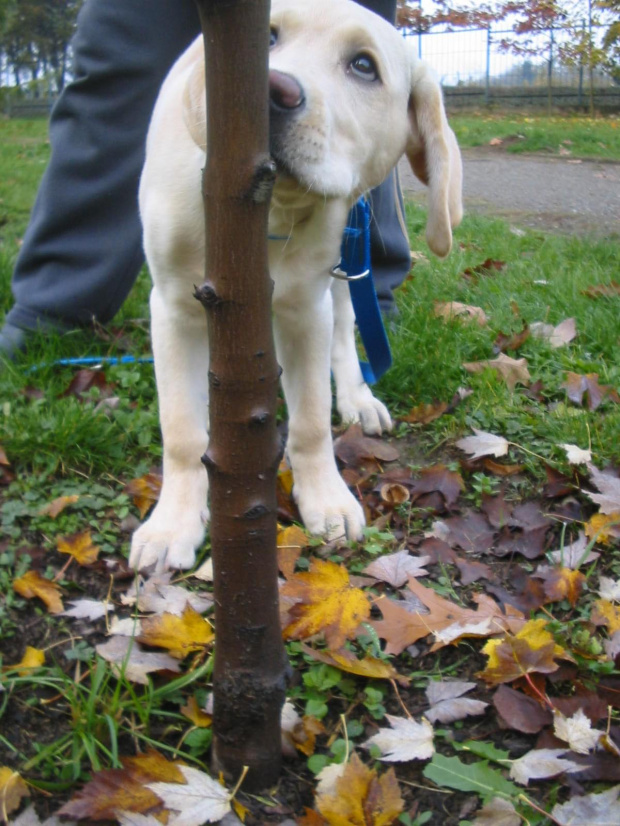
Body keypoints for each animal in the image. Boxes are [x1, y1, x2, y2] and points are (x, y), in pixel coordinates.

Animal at [130, 0, 460, 568]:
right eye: (265, 37)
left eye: (364, 66)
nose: (272, 89)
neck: (265, 211)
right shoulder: (172, 306)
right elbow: (181, 430)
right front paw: (170, 525)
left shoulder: (307, 306)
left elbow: (310, 420)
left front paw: (326, 498)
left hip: (348, 256)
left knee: (346, 331)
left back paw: (357, 398)